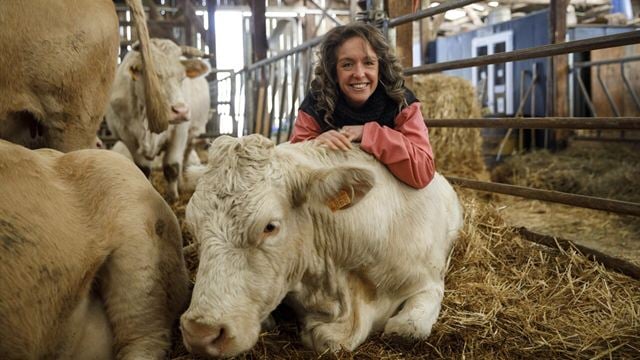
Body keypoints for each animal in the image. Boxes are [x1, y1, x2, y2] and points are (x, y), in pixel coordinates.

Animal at [107, 39, 210, 202]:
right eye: (154, 76)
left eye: (182, 78)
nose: (181, 111)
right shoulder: (126, 135)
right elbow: (143, 169)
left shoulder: (179, 131)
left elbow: (171, 167)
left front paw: (172, 197)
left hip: (193, 133)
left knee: (185, 158)